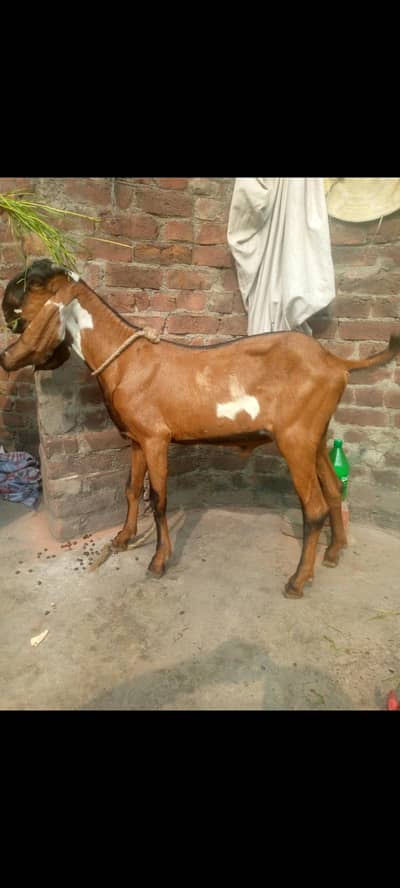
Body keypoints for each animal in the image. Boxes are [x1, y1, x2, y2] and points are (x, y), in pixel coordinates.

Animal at [1, 259, 399, 597]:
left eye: (33, 283)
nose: (6, 305)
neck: (127, 360)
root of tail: (336, 362)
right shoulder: (136, 440)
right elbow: (130, 490)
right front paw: (123, 538)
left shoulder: (156, 439)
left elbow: (158, 499)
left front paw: (159, 561)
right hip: (315, 434)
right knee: (332, 488)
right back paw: (334, 551)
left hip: (295, 438)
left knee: (313, 508)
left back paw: (298, 580)